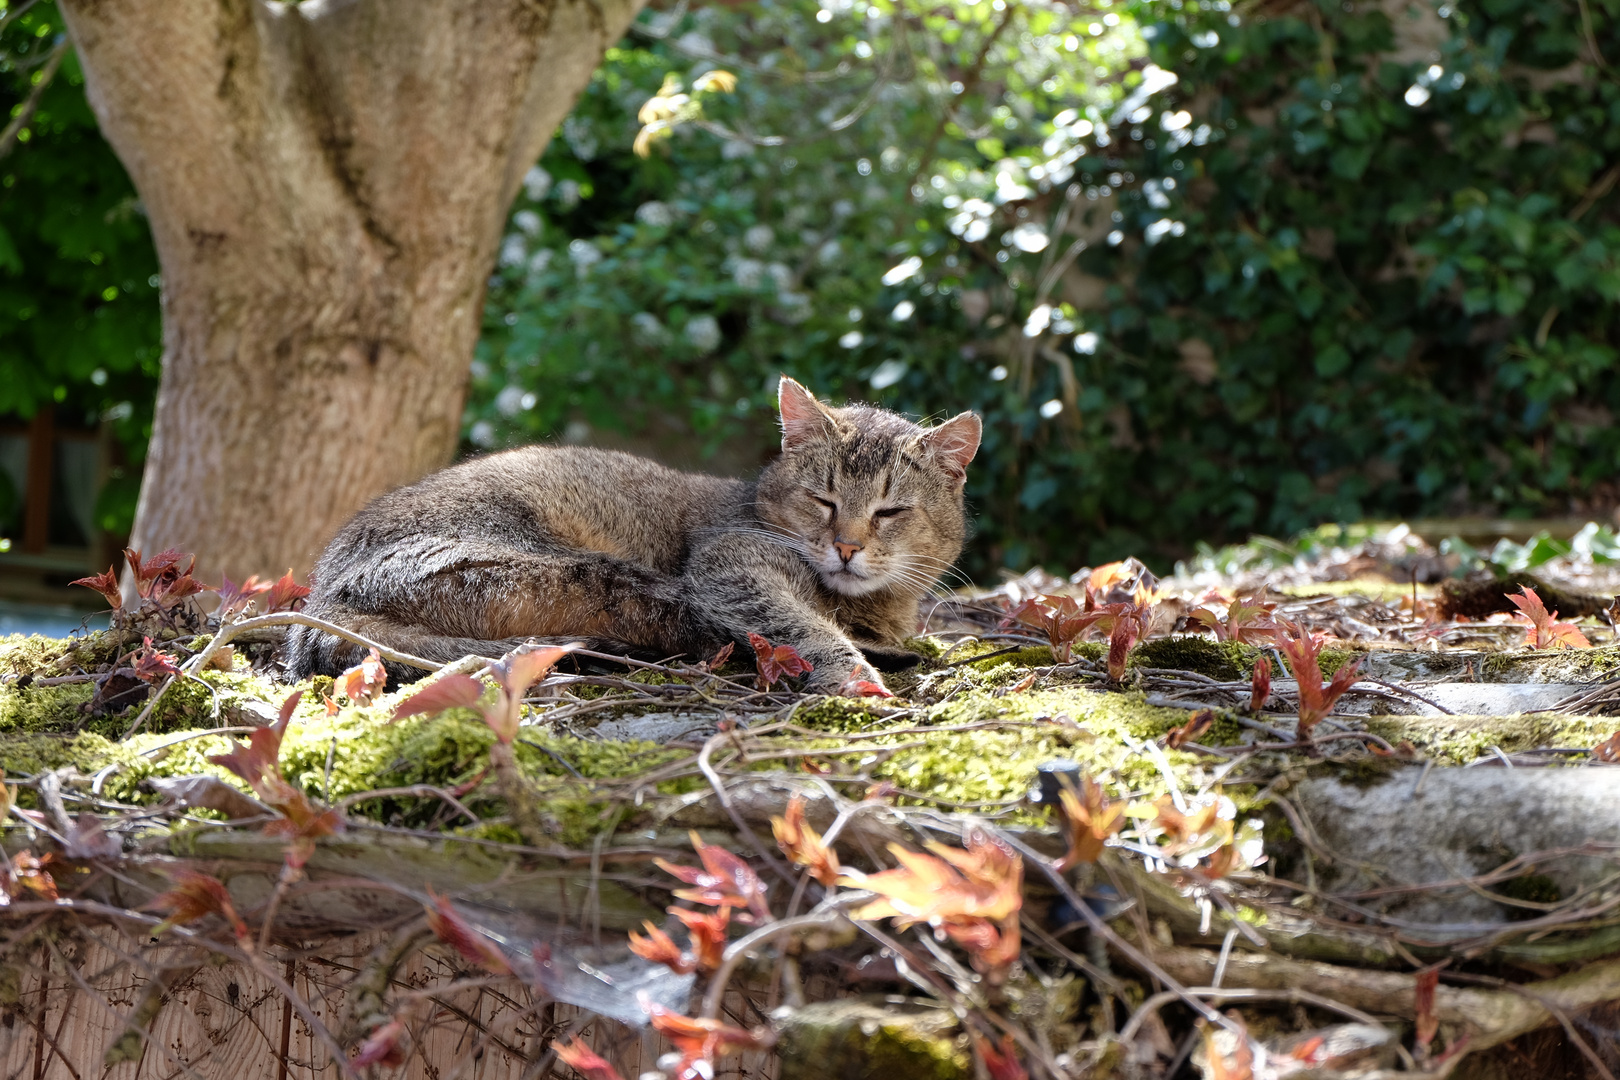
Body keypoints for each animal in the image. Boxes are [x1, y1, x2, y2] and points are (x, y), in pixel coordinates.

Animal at [283, 378, 978, 693]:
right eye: (823, 500)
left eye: (890, 511)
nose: (847, 546)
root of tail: (322, 600)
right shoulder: (731, 566)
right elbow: (801, 624)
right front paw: (855, 672)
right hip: (606, 580)